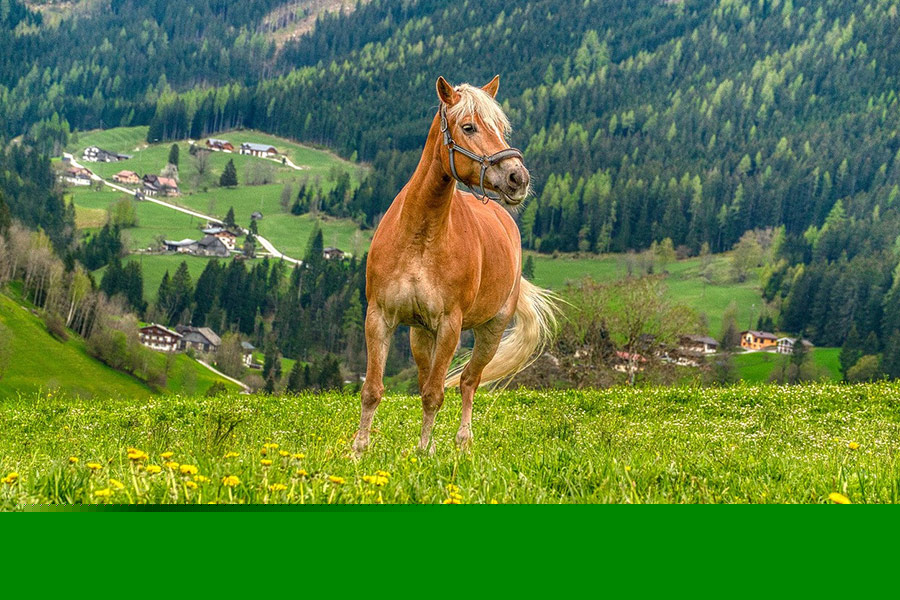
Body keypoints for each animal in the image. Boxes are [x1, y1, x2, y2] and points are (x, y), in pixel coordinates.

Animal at [352, 76, 558, 455]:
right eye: (469, 127)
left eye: (500, 128)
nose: (517, 178)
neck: (419, 238)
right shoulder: (379, 317)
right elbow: (373, 390)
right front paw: (359, 450)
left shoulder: (450, 325)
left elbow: (435, 395)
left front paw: (423, 451)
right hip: (421, 334)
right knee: (427, 377)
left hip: (490, 331)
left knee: (468, 381)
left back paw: (463, 441)